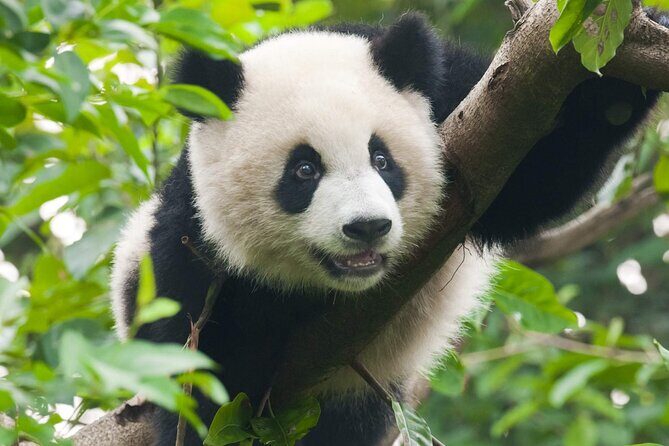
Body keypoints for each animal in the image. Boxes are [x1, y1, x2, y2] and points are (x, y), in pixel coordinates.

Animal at [110, 11, 665, 446]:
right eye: (303, 170)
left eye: (382, 159)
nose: (367, 227)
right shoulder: (192, 247)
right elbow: (206, 377)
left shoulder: (456, 98)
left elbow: (538, 172)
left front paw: (628, 56)